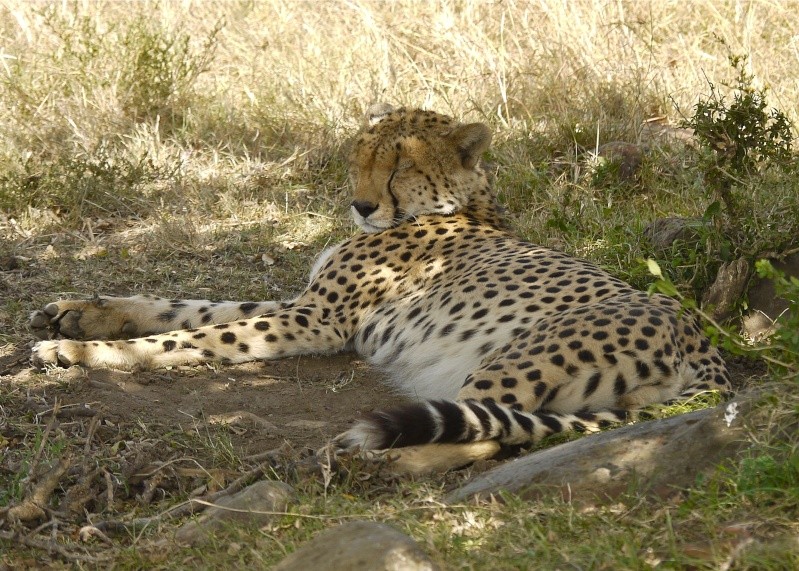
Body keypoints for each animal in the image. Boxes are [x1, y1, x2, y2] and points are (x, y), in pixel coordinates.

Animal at [31, 105, 732, 472]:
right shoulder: (306, 306)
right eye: (358, 157)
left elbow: (195, 335)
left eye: (399, 165)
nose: (361, 205)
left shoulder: (316, 320)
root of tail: (703, 343)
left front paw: (79, 354)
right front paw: (80, 314)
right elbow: (183, 307)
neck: (454, 205)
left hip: (508, 361)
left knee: (486, 433)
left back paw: (376, 455)